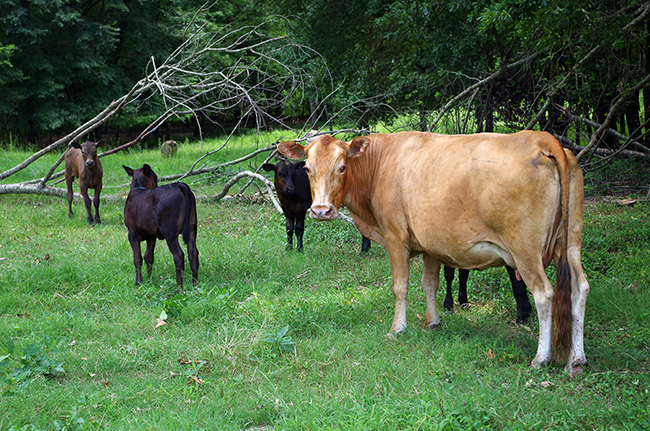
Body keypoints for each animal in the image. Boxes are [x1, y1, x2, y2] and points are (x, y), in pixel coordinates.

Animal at [278, 131, 588, 374]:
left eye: (342, 167)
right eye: (308, 168)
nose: (321, 210)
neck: (380, 164)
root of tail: (540, 139)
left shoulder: (396, 237)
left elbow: (400, 286)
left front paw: (397, 328)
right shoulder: (430, 244)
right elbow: (430, 284)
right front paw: (433, 322)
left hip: (525, 250)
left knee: (544, 295)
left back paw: (541, 358)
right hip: (571, 242)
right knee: (579, 289)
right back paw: (576, 359)